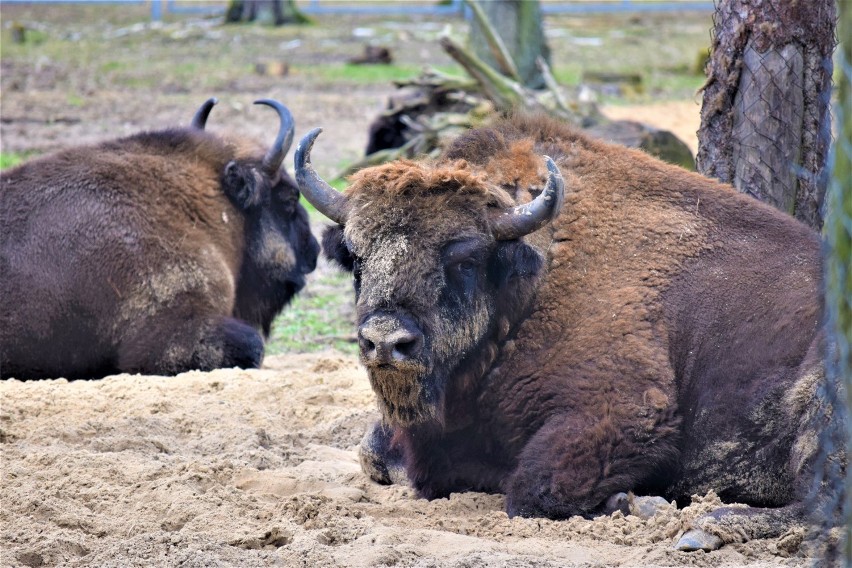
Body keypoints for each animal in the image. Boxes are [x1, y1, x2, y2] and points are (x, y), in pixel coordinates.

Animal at [294, 114, 844, 552]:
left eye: (464, 258)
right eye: (356, 258)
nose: (385, 341)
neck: (532, 283)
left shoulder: (621, 413)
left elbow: (532, 492)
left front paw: (638, 504)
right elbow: (374, 455)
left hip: (819, 396)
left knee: (824, 507)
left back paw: (703, 526)